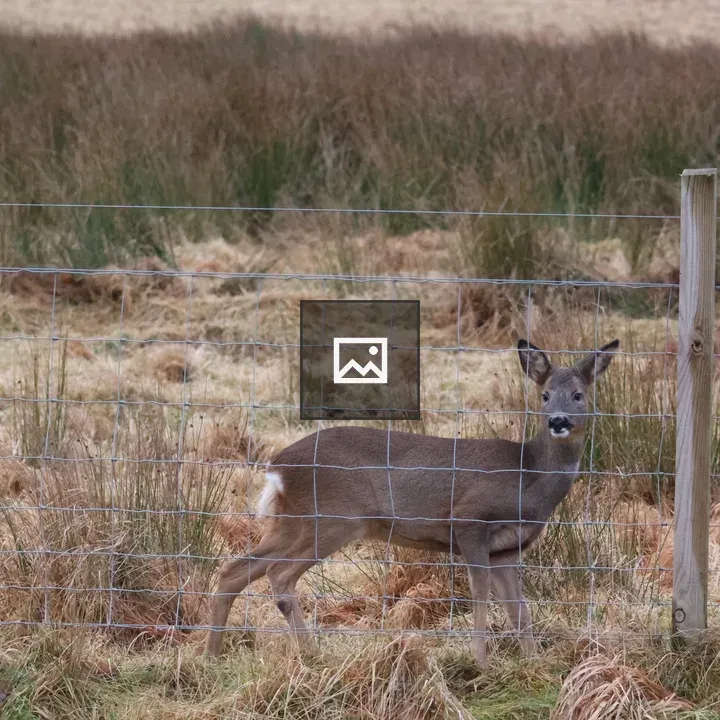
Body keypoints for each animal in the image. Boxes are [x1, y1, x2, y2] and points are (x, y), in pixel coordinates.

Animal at [205, 337, 619, 666]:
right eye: (545, 395)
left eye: (579, 395)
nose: (558, 421)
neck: (527, 476)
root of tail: (277, 467)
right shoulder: (469, 521)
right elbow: (480, 596)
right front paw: (480, 662)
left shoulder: (508, 547)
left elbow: (519, 609)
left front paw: (533, 665)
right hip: (333, 518)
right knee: (279, 574)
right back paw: (309, 653)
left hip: (292, 520)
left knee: (234, 569)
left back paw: (214, 655)